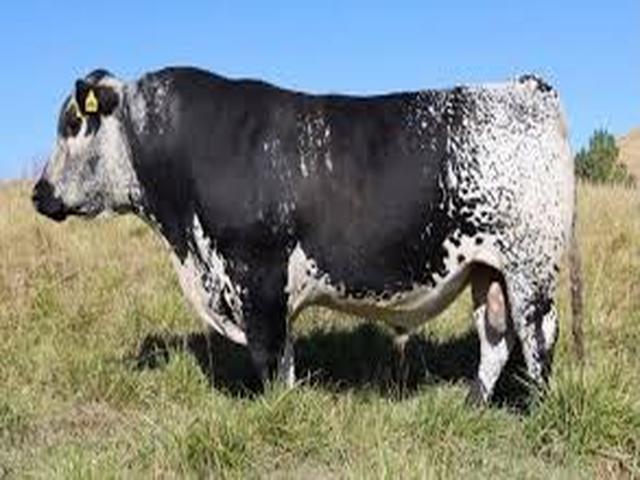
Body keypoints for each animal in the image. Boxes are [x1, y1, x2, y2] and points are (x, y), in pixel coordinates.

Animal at [32, 67, 581, 404]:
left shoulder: (256, 277)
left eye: (73, 122)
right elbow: (287, 360)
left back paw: (535, 410)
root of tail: (523, 86)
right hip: (487, 271)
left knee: (537, 337)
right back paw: (472, 405)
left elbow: (270, 358)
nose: (39, 193)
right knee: (495, 338)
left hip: (530, 271)